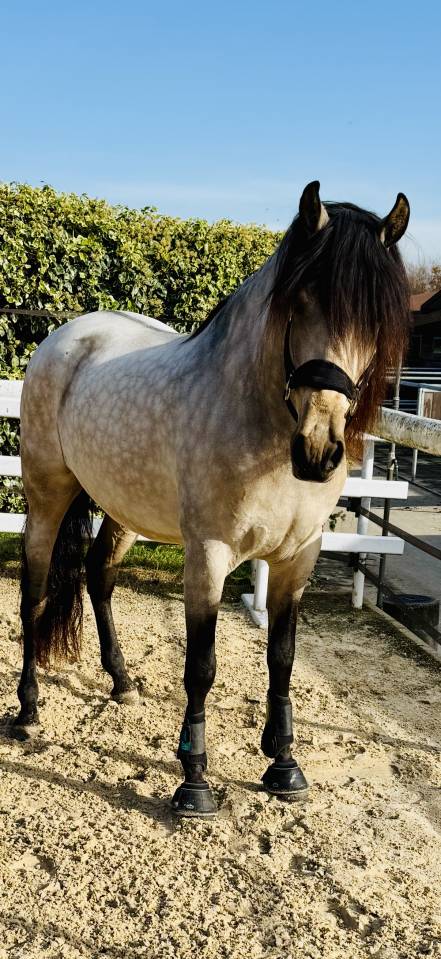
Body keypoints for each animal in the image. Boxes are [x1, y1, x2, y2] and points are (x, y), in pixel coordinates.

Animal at [14, 181, 410, 817]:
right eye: (299, 301)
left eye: (375, 320)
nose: (319, 448)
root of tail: (66, 337)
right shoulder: (209, 555)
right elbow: (201, 665)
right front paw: (194, 780)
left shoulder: (298, 557)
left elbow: (282, 657)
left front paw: (284, 764)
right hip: (47, 495)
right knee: (33, 593)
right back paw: (27, 711)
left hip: (124, 508)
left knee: (99, 575)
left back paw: (121, 682)